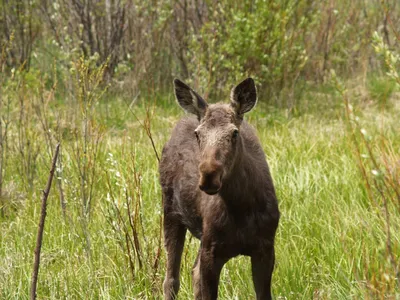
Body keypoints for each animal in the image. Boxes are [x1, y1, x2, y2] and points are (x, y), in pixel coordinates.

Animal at [160, 78, 282, 300]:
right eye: (198, 134)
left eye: (234, 133)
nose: (209, 176)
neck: (240, 208)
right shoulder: (212, 250)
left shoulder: (266, 248)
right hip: (171, 211)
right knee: (171, 280)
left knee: (193, 272)